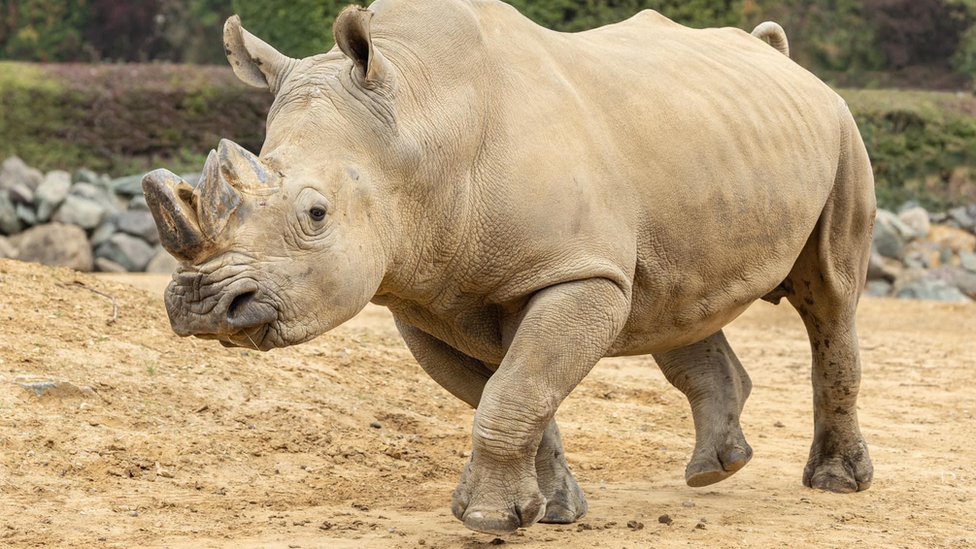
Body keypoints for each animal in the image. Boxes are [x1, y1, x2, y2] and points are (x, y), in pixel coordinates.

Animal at [143, 0, 875, 535]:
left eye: (316, 213)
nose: (204, 305)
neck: (417, 126)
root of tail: (781, 57)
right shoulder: (422, 299)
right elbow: (514, 392)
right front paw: (548, 511)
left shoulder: (578, 271)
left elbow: (515, 390)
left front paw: (491, 519)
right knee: (676, 303)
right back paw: (714, 471)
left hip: (841, 130)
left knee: (831, 297)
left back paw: (835, 484)